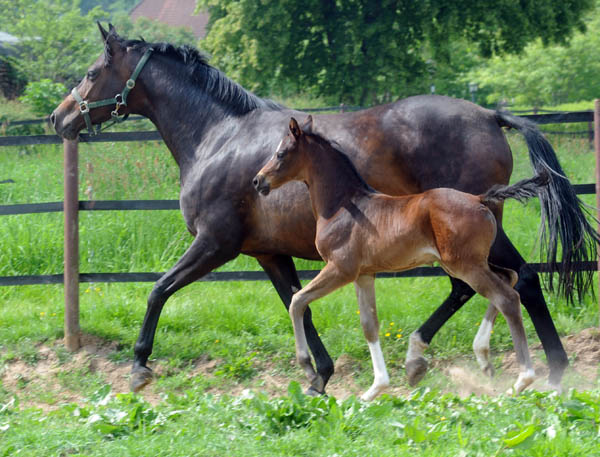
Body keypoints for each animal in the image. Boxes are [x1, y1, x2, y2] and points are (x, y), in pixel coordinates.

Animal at [253, 116, 548, 400]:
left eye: (281, 153)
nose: (258, 181)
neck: (342, 206)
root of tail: (480, 199)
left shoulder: (340, 269)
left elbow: (297, 301)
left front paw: (309, 371)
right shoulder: (364, 274)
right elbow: (369, 325)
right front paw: (375, 389)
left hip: (465, 266)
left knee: (506, 297)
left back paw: (522, 379)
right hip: (471, 262)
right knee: (509, 277)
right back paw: (483, 358)